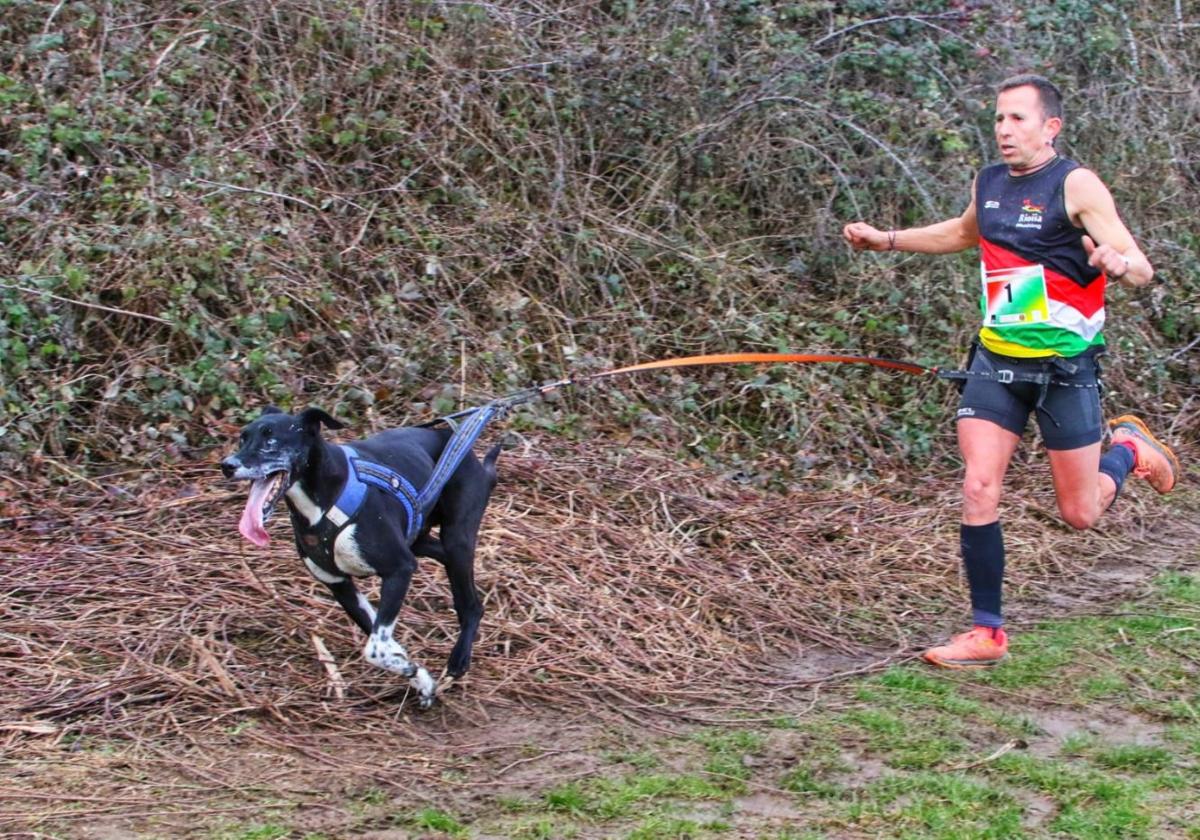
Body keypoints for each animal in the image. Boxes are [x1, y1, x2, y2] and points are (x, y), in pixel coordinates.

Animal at [223, 408, 499, 710]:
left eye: (270, 441)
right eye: (242, 438)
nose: (227, 465)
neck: (321, 504)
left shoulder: (399, 569)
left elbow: (375, 649)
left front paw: (409, 669)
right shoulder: (341, 586)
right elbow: (381, 638)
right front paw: (419, 677)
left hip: (457, 537)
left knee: (471, 605)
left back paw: (459, 660)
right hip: (420, 542)